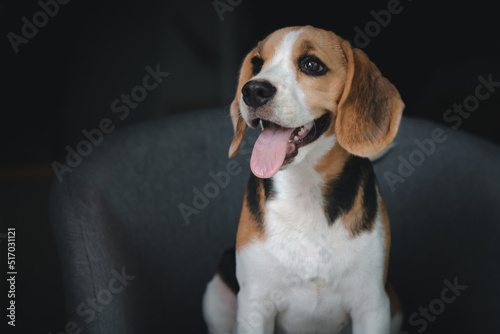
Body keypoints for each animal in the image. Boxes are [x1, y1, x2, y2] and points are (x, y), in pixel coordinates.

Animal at [202, 24, 402, 332]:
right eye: (257, 64)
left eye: (312, 65)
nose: (253, 90)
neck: (304, 188)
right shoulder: (254, 305)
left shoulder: (372, 306)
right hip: (216, 295)